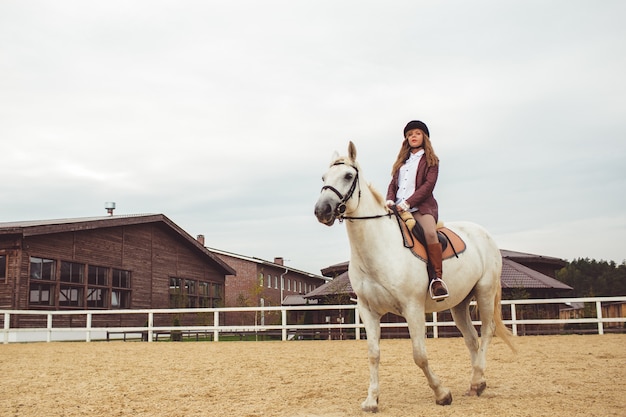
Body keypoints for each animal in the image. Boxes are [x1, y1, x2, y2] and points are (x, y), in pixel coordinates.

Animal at [312, 141, 512, 412]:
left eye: (348, 176)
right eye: (323, 177)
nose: (322, 210)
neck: (379, 246)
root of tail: (483, 233)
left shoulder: (413, 308)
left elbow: (419, 355)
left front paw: (441, 393)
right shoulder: (367, 310)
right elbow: (373, 354)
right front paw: (371, 400)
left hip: (484, 291)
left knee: (487, 331)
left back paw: (479, 380)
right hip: (459, 303)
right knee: (471, 339)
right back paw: (474, 384)